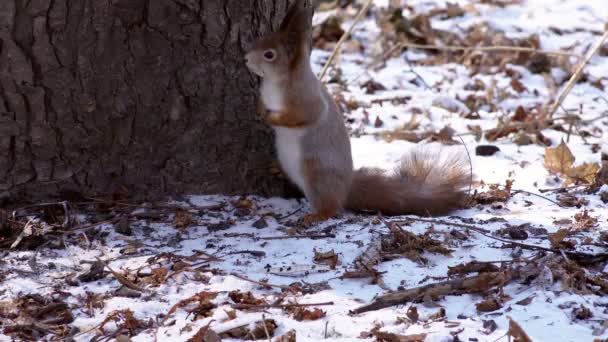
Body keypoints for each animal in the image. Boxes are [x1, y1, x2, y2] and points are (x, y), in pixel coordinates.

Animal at [243, 4, 470, 226]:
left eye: (269, 54)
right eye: (260, 40)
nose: (245, 59)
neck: (276, 83)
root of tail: (346, 188)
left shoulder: (306, 100)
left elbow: (302, 116)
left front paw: (270, 117)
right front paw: (259, 107)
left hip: (317, 173)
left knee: (331, 207)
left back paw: (315, 216)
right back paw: (277, 169)